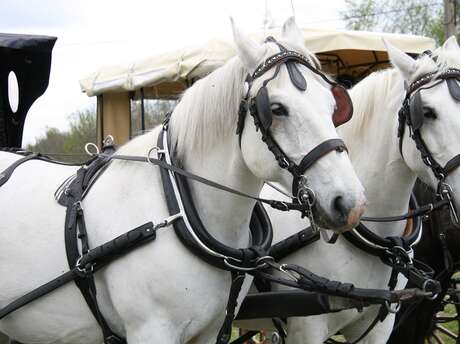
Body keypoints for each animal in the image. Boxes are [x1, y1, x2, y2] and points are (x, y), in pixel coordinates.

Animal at [0, 19, 366, 344]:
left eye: (333, 104)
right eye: (276, 108)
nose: (350, 203)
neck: (178, 206)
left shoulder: (210, 330)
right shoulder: (151, 331)